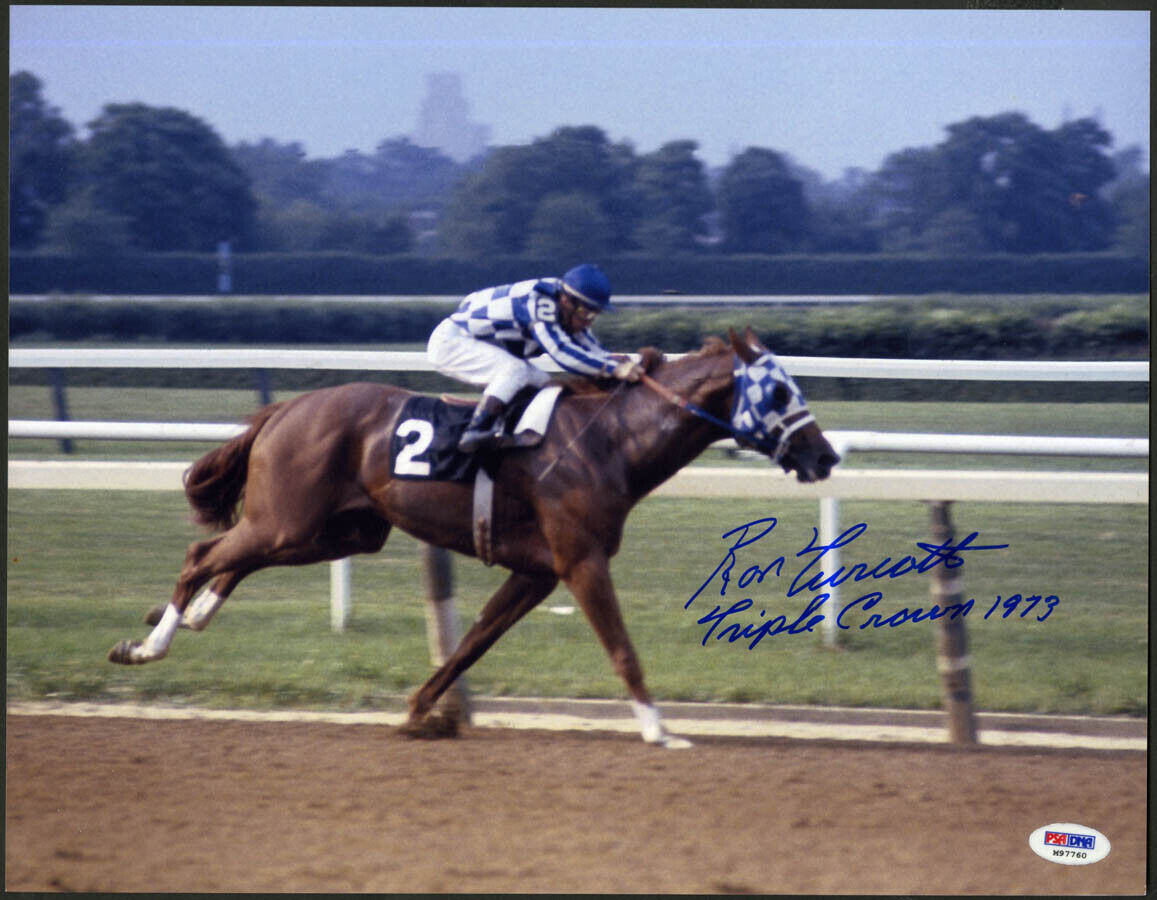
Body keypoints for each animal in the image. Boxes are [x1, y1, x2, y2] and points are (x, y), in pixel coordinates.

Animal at [110, 326, 842, 744]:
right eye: (780, 393)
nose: (825, 455)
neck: (607, 439)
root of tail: (287, 406)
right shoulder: (580, 562)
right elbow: (622, 649)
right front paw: (660, 730)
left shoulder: (537, 571)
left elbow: (471, 644)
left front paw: (418, 712)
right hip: (291, 520)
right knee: (202, 552)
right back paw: (146, 646)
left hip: (332, 531)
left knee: (233, 558)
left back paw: (194, 616)